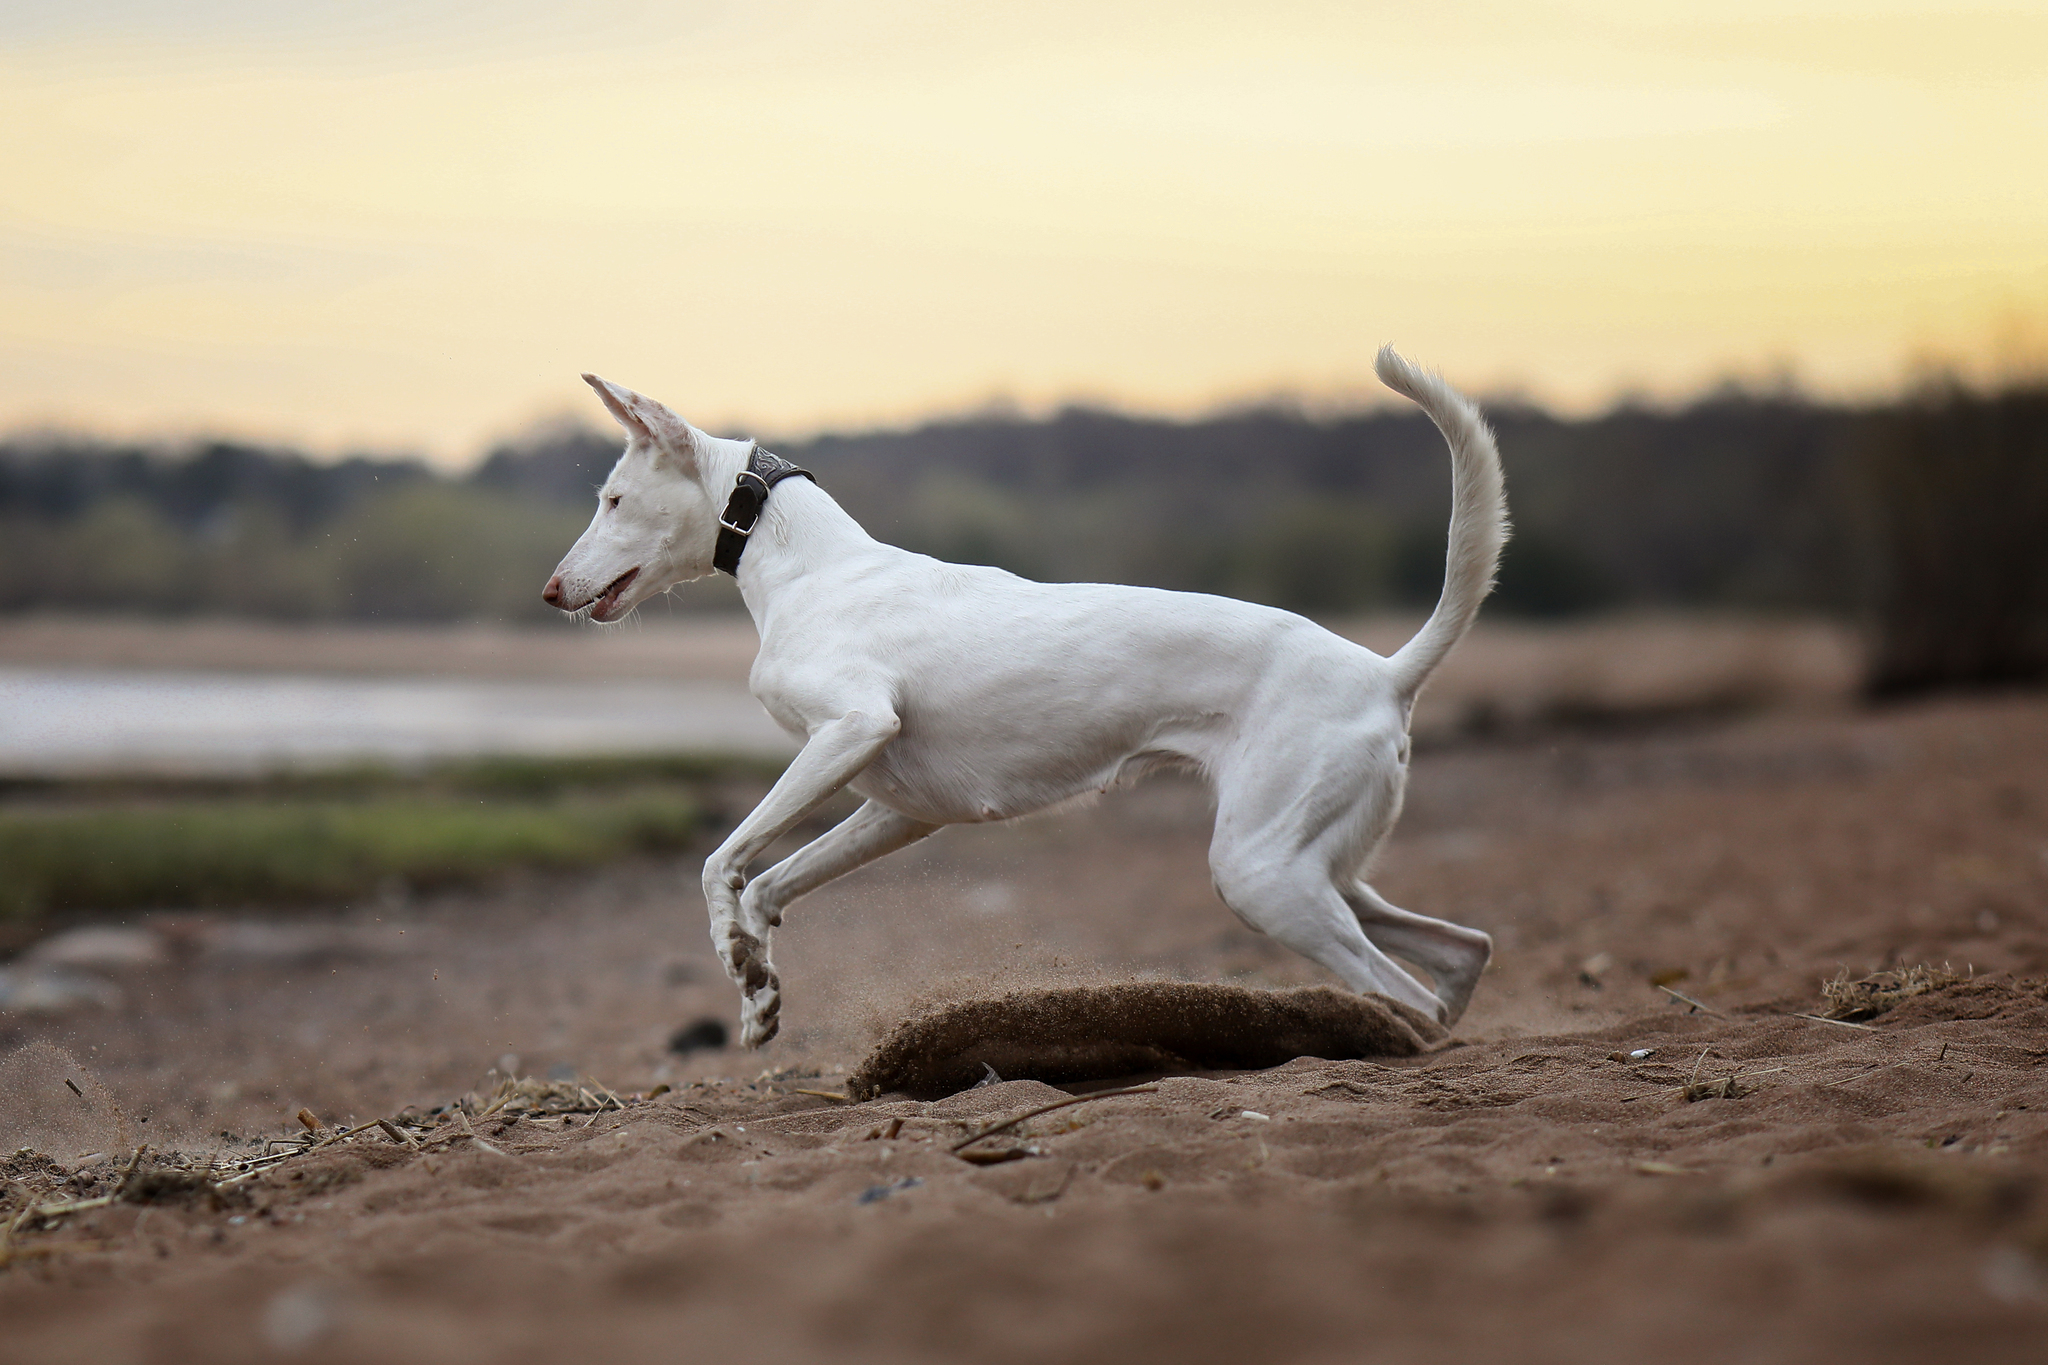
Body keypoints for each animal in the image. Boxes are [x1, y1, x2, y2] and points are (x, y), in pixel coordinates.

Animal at [544, 349, 1507, 1047]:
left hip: (1263, 872)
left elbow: (720, 862)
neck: (811, 566)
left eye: (614, 498)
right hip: (1317, 863)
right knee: (1465, 952)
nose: (551, 591)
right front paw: (757, 992)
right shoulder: (900, 807)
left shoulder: (852, 726)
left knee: (1410, 989)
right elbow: (770, 883)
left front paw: (737, 961)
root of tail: (1383, 669)